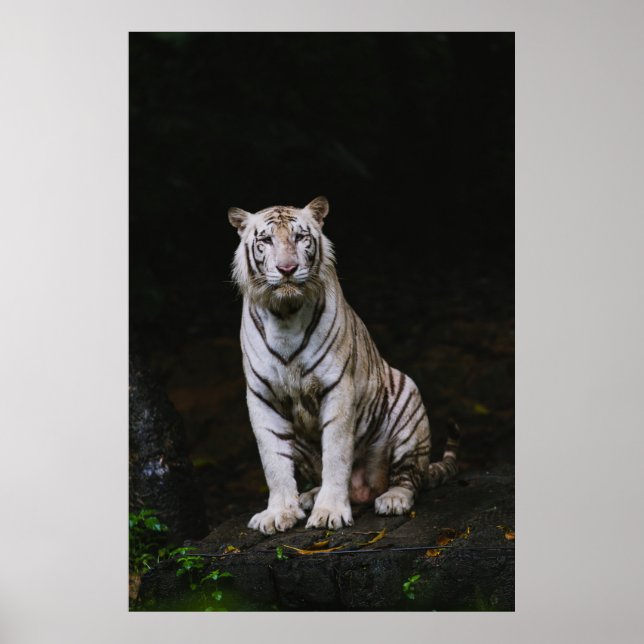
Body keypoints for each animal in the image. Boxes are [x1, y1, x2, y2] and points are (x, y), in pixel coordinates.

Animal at [228, 196, 459, 535]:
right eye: (266, 240)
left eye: (300, 237)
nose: (287, 269)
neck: (285, 314)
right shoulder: (262, 397)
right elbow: (273, 462)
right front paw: (279, 512)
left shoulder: (337, 388)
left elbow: (336, 455)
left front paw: (329, 513)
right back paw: (307, 497)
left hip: (409, 400)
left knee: (409, 477)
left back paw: (393, 498)